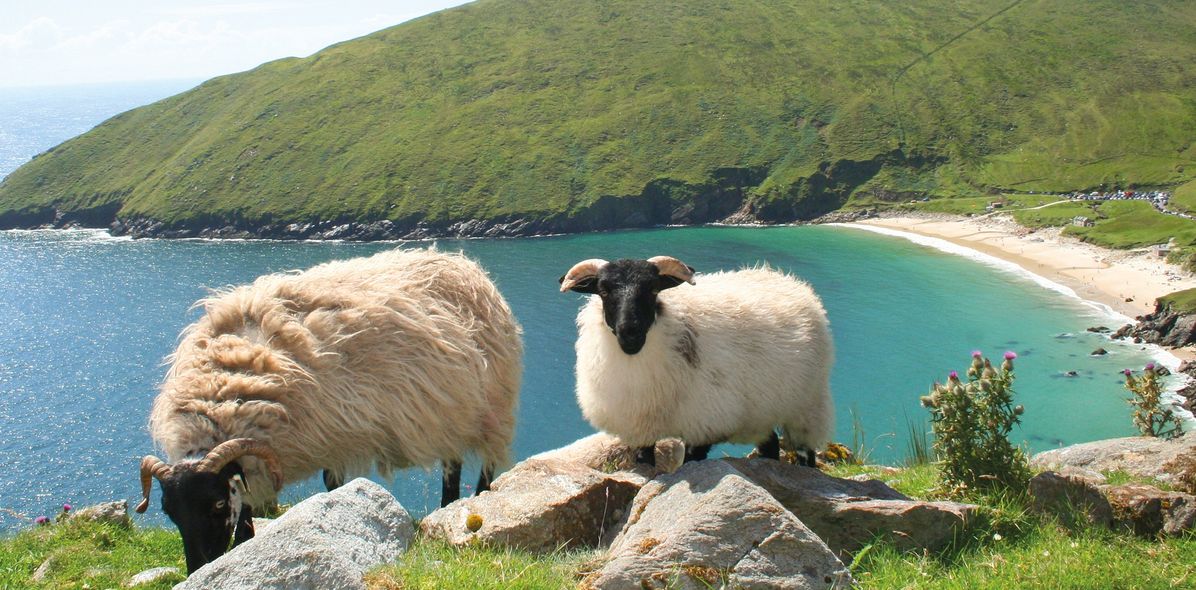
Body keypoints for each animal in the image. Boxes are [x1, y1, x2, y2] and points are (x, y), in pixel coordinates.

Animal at [557, 254, 832, 466]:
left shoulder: (704, 423)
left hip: (806, 406)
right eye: (603, 291)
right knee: (771, 445)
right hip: (759, 415)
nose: (630, 332)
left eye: (653, 289)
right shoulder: (642, 429)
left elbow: (689, 463)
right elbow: (646, 461)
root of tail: (786, 279)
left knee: (805, 452)